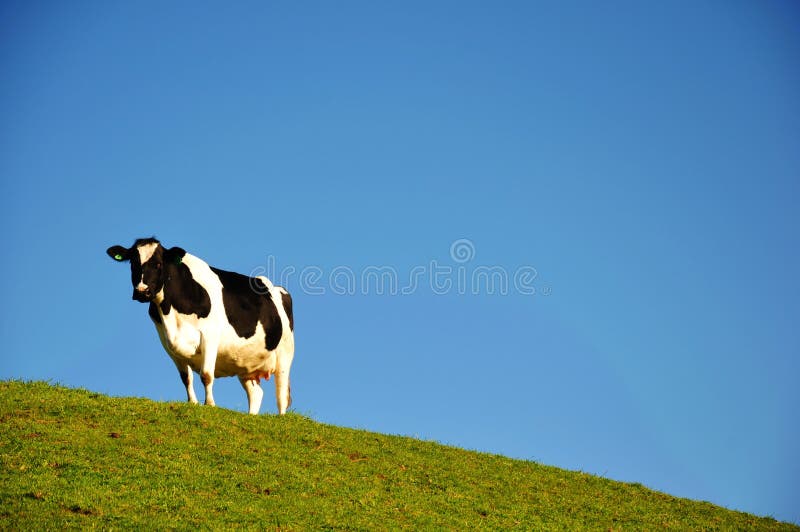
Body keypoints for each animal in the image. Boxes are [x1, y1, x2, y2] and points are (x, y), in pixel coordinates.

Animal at [106, 237, 294, 415]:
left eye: (159, 263)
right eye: (133, 263)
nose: (141, 291)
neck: (171, 312)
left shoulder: (210, 336)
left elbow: (206, 375)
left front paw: (209, 404)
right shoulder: (168, 343)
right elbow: (186, 378)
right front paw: (193, 403)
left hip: (285, 353)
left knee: (281, 395)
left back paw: (281, 417)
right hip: (246, 364)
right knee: (256, 393)